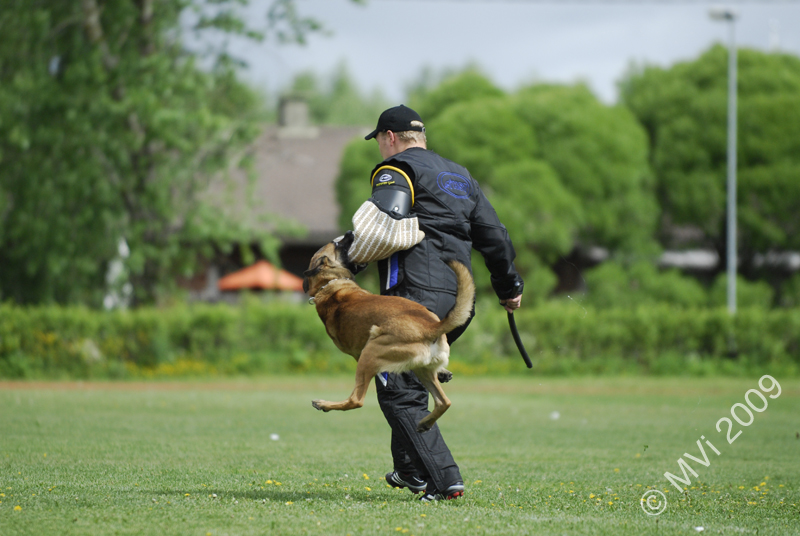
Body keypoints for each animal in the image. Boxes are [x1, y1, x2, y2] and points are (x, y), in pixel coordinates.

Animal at [304, 232, 472, 434]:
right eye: (338, 244)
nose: (351, 233)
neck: (328, 283)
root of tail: (431, 326)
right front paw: (444, 372)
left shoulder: (357, 354)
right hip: (421, 370)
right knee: (444, 402)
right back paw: (425, 423)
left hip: (369, 352)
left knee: (356, 400)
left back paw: (324, 404)